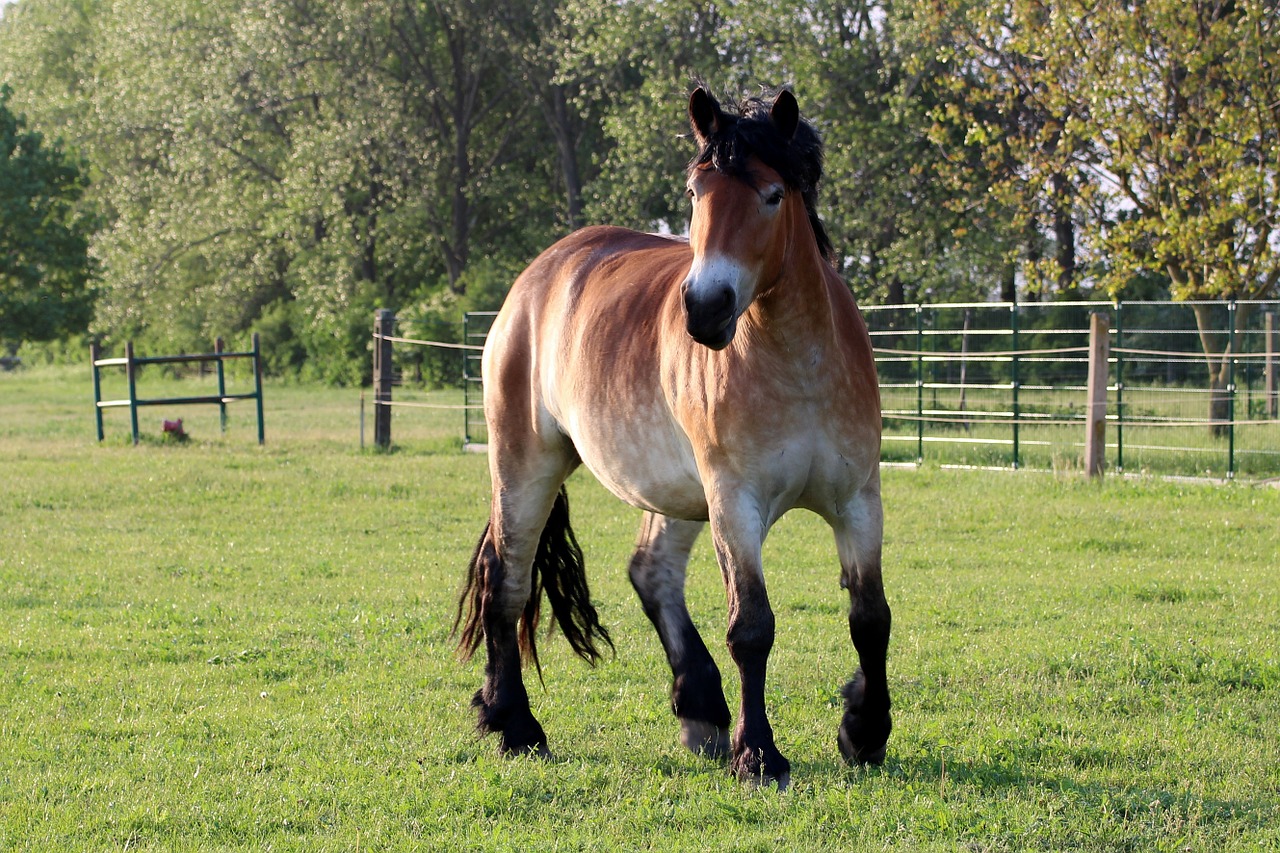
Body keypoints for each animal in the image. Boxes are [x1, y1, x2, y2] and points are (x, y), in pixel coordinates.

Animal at [458, 86, 890, 783]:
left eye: (773, 195)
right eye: (695, 192)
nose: (706, 307)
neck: (798, 363)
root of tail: (538, 277)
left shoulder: (857, 498)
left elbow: (870, 617)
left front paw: (865, 730)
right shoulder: (735, 501)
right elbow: (752, 627)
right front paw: (759, 754)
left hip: (678, 491)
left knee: (651, 573)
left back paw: (701, 708)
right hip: (526, 463)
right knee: (507, 580)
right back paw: (515, 725)